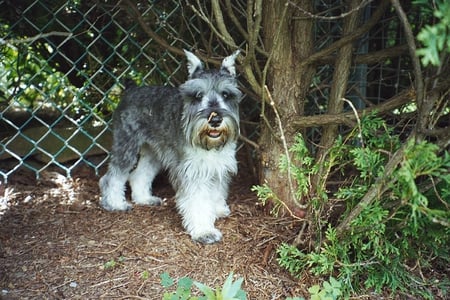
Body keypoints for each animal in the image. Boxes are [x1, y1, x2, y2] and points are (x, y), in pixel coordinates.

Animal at [99, 49, 243, 244]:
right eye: (198, 95)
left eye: (226, 94)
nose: (215, 120)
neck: (208, 144)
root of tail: (131, 88)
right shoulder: (192, 172)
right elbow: (198, 201)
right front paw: (204, 230)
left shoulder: (217, 166)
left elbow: (216, 191)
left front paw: (217, 209)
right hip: (126, 145)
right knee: (113, 176)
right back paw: (115, 203)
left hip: (153, 151)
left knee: (139, 175)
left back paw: (144, 198)